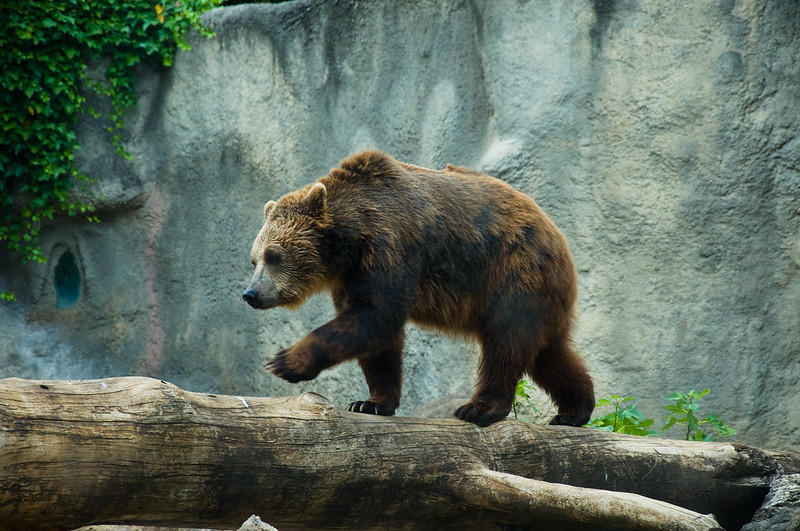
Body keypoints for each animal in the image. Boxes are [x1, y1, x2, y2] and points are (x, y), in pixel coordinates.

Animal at [244, 150, 592, 428]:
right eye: (253, 259)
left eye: (273, 255)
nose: (251, 294)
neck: (350, 241)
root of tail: (556, 233)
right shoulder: (352, 274)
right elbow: (376, 334)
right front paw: (370, 402)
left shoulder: (390, 244)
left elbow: (377, 316)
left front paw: (285, 361)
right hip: (540, 293)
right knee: (548, 353)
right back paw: (576, 409)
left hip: (514, 271)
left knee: (505, 343)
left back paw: (479, 408)